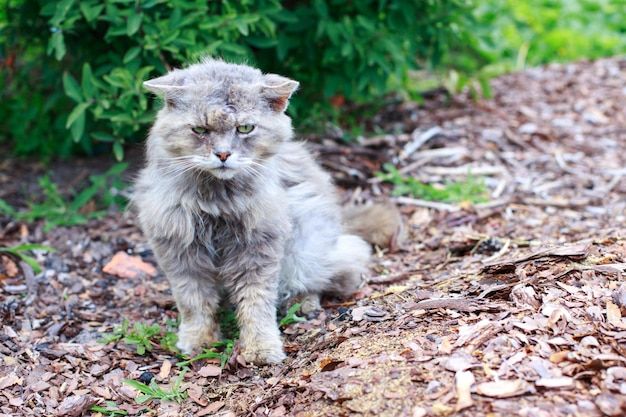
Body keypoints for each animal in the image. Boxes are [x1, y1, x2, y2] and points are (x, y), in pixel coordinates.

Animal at [133, 59, 392, 364]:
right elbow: (194, 302)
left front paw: (261, 349)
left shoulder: (258, 249)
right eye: (200, 130)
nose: (223, 155)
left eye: (245, 128)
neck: (217, 202)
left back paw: (302, 303)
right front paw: (198, 341)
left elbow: (256, 305)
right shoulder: (180, 251)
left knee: (333, 276)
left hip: (305, 250)